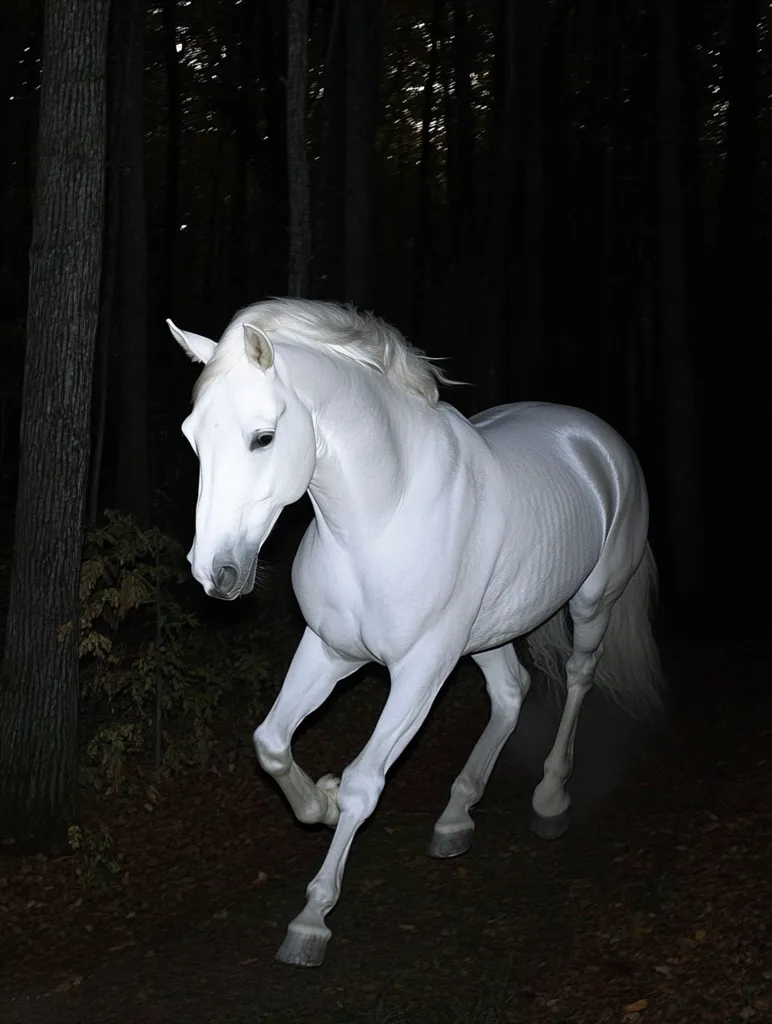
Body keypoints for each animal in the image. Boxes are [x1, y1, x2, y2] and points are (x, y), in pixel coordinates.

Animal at [168, 298, 662, 968]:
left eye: (263, 437)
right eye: (192, 438)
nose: (213, 572)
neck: (378, 519)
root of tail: (597, 440)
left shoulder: (420, 672)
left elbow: (364, 784)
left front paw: (312, 919)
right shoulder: (329, 651)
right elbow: (271, 743)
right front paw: (319, 803)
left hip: (591, 604)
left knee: (580, 677)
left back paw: (550, 798)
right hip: (486, 635)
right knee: (510, 692)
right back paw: (456, 816)